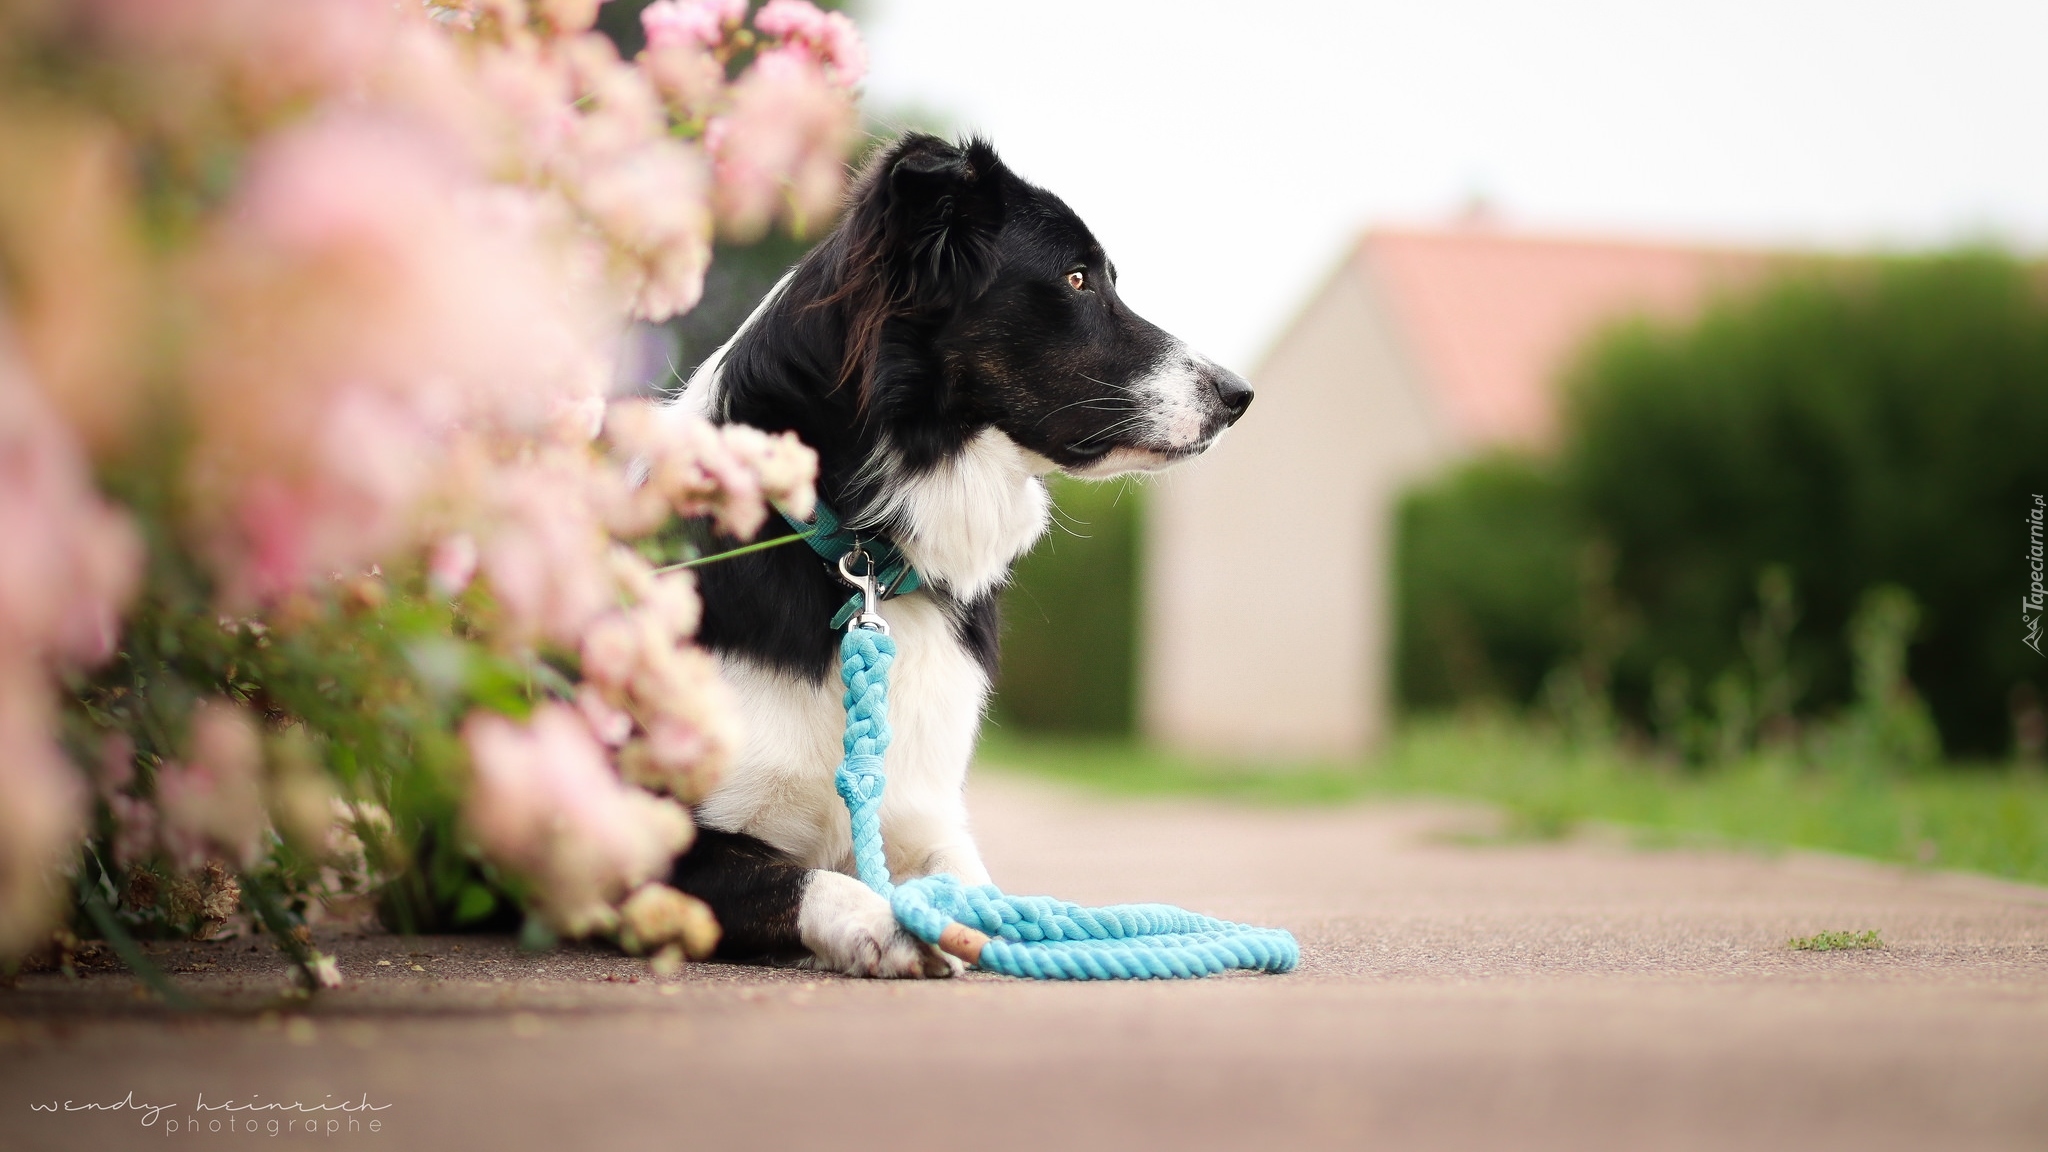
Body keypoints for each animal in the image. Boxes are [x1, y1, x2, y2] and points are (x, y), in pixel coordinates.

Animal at [667, 136, 1245, 975]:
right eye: (1076, 279)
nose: (1240, 395)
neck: (861, 550)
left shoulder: (924, 814)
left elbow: (975, 883)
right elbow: (801, 877)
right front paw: (886, 923)